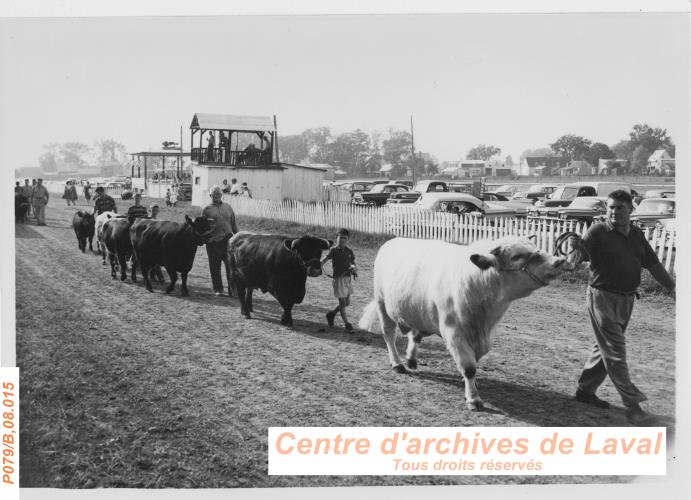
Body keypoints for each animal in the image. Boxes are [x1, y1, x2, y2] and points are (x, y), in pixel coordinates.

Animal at [356, 235, 568, 410]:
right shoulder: (454, 332)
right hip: (382, 304)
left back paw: (411, 359)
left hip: (417, 310)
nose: (559, 261)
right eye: (517, 256)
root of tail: (393, 241)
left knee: (415, 335)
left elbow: (475, 362)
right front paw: (473, 398)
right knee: (389, 335)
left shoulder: (485, 335)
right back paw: (397, 363)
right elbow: (469, 367)